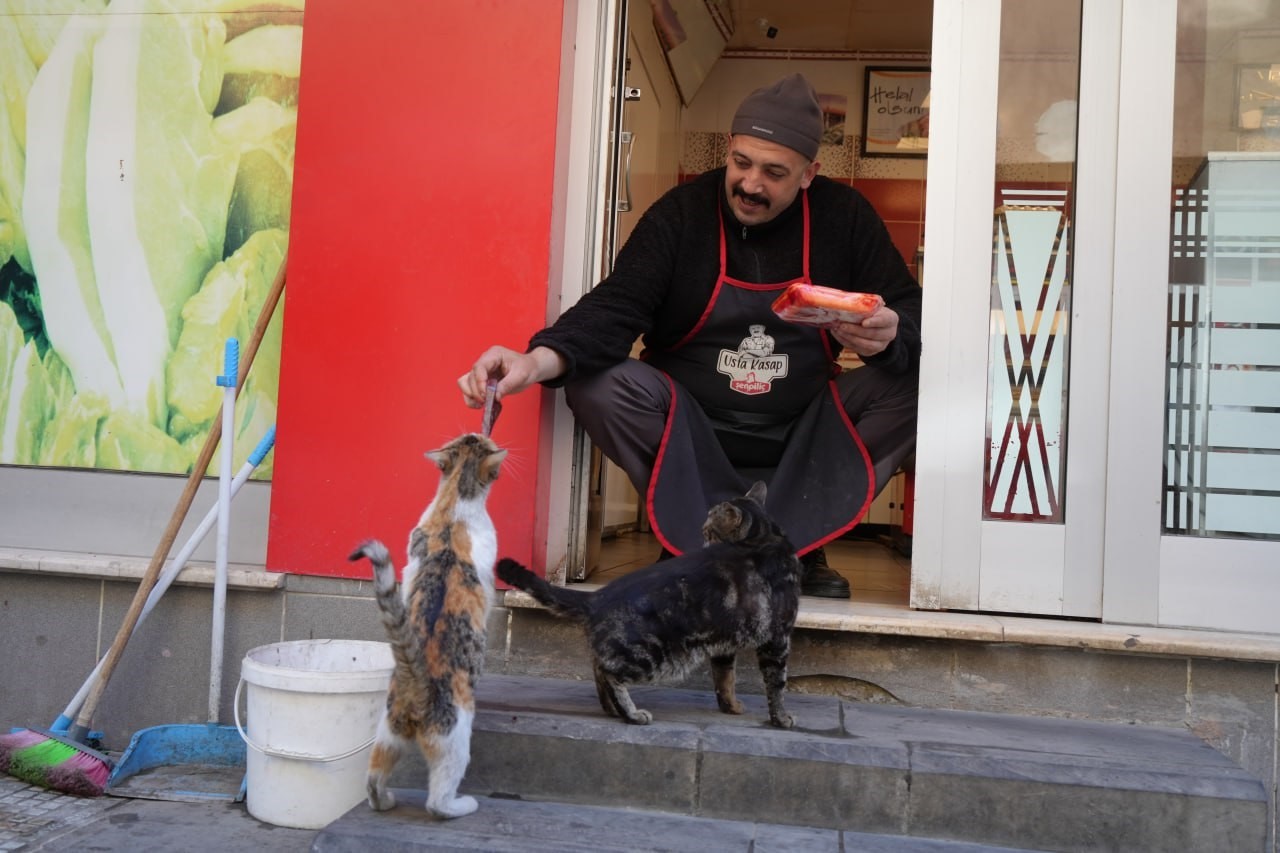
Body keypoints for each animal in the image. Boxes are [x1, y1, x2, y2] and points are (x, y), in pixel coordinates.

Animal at [350, 432, 509, 819]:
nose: (485, 432)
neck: (453, 506)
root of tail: (414, 678)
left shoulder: (409, 564)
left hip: (387, 732)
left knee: (374, 777)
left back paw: (385, 801)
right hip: (455, 739)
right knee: (437, 800)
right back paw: (460, 806)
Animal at [496, 481, 798, 727]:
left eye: (707, 532)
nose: (700, 541)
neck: (764, 538)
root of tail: (597, 596)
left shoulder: (726, 644)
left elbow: (725, 681)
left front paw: (731, 707)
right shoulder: (777, 639)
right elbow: (777, 685)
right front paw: (781, 719)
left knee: (598, 668)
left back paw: (612, 710)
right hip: (654, 655)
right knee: (610, 673)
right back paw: (631, 713)